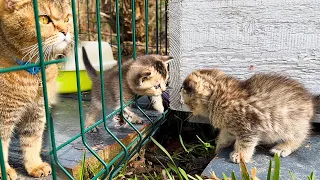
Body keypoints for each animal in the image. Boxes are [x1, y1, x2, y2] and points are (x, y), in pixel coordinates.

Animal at [0, 0, 72, 179]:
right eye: (44, 19)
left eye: (67, 18)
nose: (66, 31)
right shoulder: (3, 116)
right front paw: (4, 171)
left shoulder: (37, 113)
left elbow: (32, 142)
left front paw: (35, 165)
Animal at [181, 68, 314, 163]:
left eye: (187, 103)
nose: (181, 102)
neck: (218, 97)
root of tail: (310, 101)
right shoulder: (229, 127)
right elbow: (224, 136)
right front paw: (218, 148)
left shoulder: (249, 126)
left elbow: (245, 143)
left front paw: (240, 155)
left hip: (291, 125)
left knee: (299, 137)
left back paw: (283, 147)